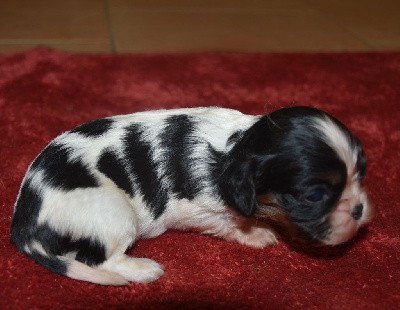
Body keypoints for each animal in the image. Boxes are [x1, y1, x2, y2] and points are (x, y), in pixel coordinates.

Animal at [10, 107, 372, 286]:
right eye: (315, 195)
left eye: (361, 173)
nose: (358, 210)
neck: (235, 147)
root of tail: (24, 221)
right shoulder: (198, 209)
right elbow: (232, 223)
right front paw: (255, 233)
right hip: (115, 214)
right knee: (97, 259)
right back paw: (143, 269)